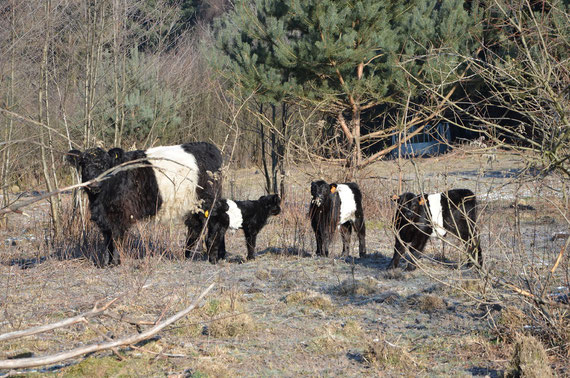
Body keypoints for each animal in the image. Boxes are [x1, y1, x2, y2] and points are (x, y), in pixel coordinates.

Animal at [64, 142, 220, 266]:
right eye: (83, 164)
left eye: (105, 165)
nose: (95, 184)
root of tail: (209, 146)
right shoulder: (105, 217)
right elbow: (108, 240)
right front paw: (107, 263)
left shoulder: (119, 215)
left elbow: (116, 239)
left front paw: (116, 262)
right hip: (193, 206)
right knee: (194, 227)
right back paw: (186, 254)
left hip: (207, 202)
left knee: (210, 225)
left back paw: (211, 256)